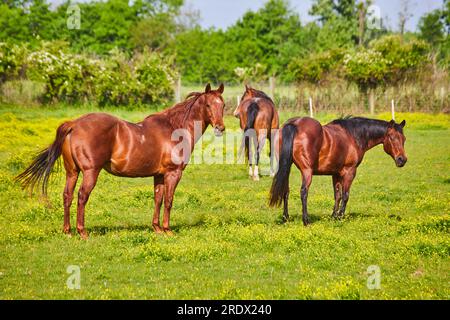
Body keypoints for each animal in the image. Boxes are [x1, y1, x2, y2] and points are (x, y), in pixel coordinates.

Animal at [16, 82, 227, 238]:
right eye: (208, 105)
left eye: (223, 105)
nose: (220, 128)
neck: (173, 129)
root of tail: (74, 124)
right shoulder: (173, 173)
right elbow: (168, 200)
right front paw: (168, 230)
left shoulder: (159, 175)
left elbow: (157, 199)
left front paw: (157, 228)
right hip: (90, 173)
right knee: (82, 196)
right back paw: (82, 232)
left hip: (72, 172)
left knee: (67, 196)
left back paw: (67, 231)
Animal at [268, 117, 410, 225]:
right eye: (391, 137)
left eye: (404, 139)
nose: (402, 160)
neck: (353, 136)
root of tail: (294, 124)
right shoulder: (350, 171)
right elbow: (346, 195)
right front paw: (340, 216)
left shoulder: (335, 174)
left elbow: (337, 195)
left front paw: (333, 216)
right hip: (307, 171)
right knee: (303, 192)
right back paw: (306, 220)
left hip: (286, 166)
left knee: (285, 191)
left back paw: (286, 218)